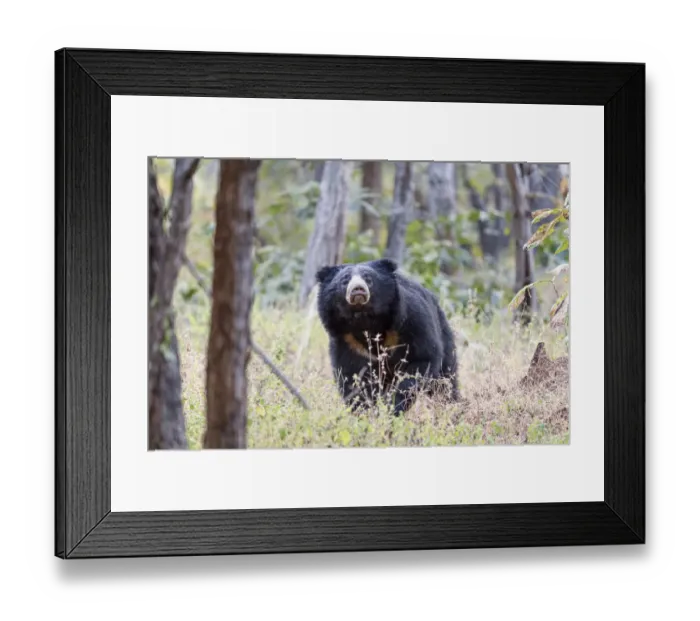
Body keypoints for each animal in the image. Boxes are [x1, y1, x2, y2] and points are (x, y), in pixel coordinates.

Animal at [315, 258, 459, 416]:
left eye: (368, 279)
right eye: (345, 280)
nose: (358, 289)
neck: (364, 320)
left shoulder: (411, 320)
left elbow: (422, 359)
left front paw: (394, 406)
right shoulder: (347, 341)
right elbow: (353, 376)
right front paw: (365, 412)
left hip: (445, 338)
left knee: (445, 382)